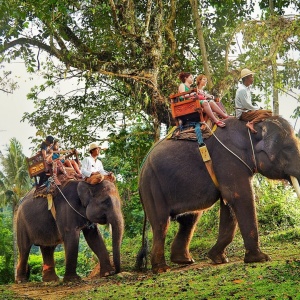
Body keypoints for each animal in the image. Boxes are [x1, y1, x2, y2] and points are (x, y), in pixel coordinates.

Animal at [138, 116, 300, 274]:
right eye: (287, 149)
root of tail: (141, 169)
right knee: (161, 224)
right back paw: (161, 269)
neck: (251, 128)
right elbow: (239, 197)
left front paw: (218, 258)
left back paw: (185, 261)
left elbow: (228, 204)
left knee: (190, 219)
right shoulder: (228, 159)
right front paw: (261, 258)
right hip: (152, 186)